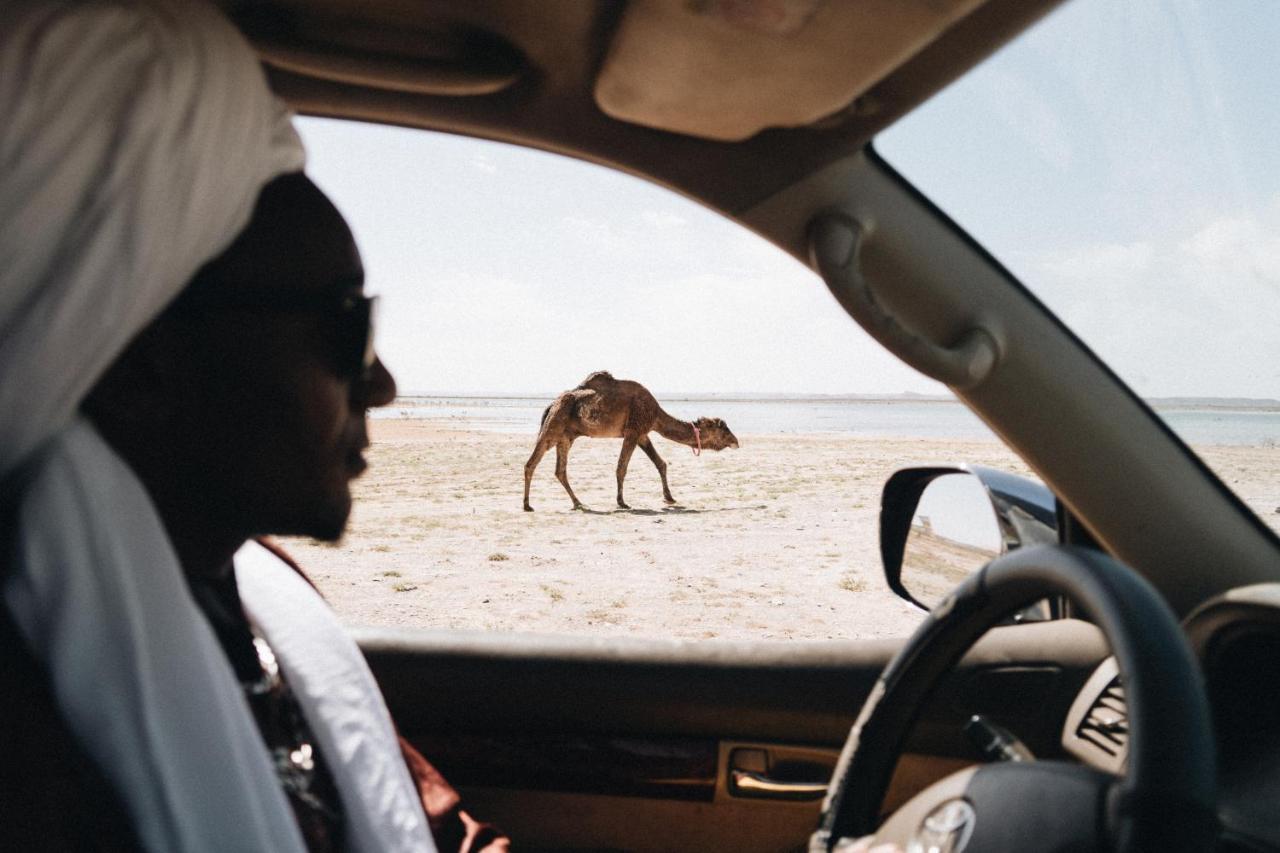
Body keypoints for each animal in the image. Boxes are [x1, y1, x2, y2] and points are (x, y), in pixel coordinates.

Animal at [522, 368, 742, 507]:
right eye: (724, 429)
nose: (736, 442)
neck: (655, 413)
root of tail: (551, 404)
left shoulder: (643, 433)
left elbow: (661, 463)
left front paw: (669, 498)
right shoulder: (633, 431)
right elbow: (622, 467)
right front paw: (621, 502)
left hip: (565, 437)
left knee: (560, 470)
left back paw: (577, 503)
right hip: (553, 428)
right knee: (531, 463)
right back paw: (528, 505)